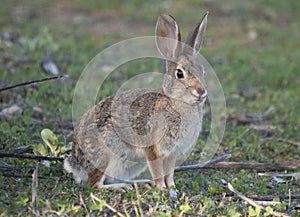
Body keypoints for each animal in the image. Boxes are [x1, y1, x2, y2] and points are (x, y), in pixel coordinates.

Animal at [63, 11, 209, 192]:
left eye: (202, 71)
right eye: (180, 73)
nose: (201, 92)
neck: (176, 102)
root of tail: (76, 164)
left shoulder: (172, 152)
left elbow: (169, 172)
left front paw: (172, 187)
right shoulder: (152, 148)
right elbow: (157, 170)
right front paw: (162, 189)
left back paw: (139, 183)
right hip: (105, 156)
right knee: (94, 185)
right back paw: (121, 187)